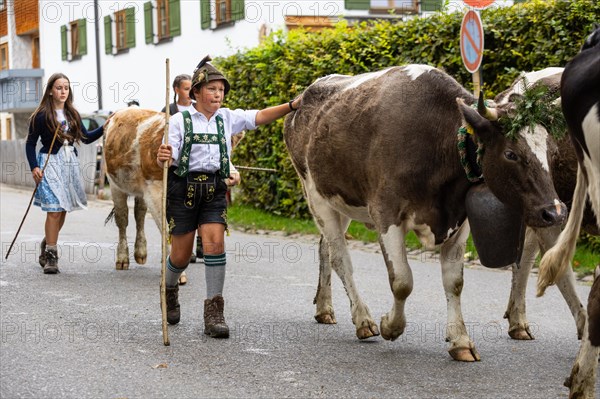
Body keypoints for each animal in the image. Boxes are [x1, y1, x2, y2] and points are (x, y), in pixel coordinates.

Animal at [284, 65, 568, 362]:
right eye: (511, 154)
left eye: (551, 152)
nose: (555, 213)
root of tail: (305, 97)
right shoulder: (385, 212)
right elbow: (402, 281)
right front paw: (391, 326)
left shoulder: (459, 219)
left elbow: (454, 282)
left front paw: (460, 341)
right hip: (316, 196)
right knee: (340, 258)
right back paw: (363, 320)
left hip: (343, 202)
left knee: (324, 248)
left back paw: (324, 309)